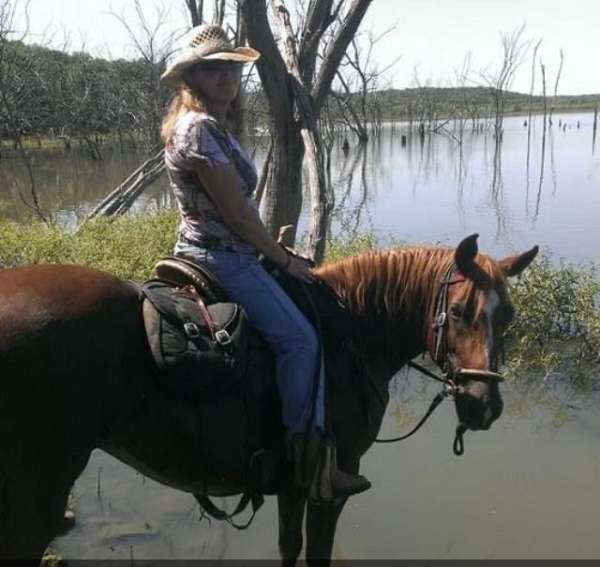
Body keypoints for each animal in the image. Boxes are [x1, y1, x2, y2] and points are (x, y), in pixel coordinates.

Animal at [0, 235, 536, 564]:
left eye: (509, 314)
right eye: (460, 311)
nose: (484, 405)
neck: (352, 330)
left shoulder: (292, 483)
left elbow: (288, 546)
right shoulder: (331, 484)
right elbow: (316, 551)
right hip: (35, 498)